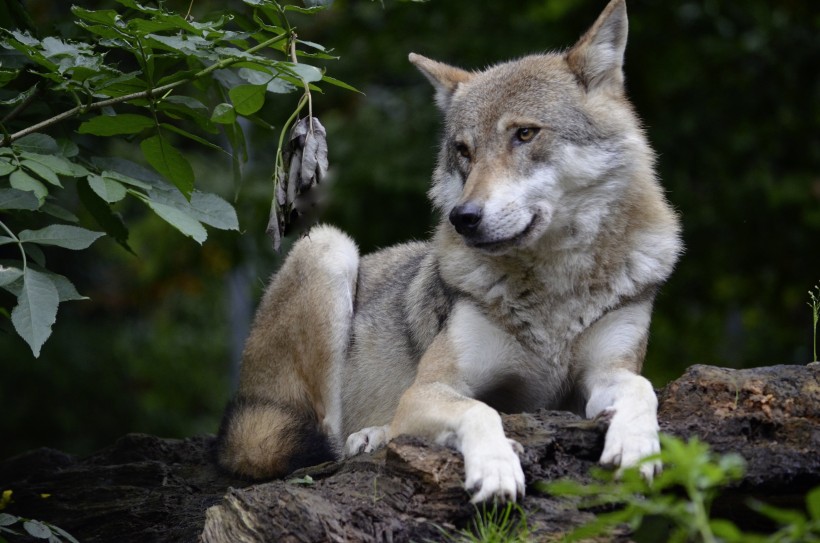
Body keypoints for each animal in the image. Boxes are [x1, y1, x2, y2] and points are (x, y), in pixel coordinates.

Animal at [216, 0, 680, 504]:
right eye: (463, 150)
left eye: (524, 134)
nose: (464, 217)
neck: (554, 287)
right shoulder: (431, 388)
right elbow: (480, 410)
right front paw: (496, 468)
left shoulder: (602, 376)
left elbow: (643, 388)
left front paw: (637, 447)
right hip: (328, 247)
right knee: (329, 437)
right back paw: (372, 435)